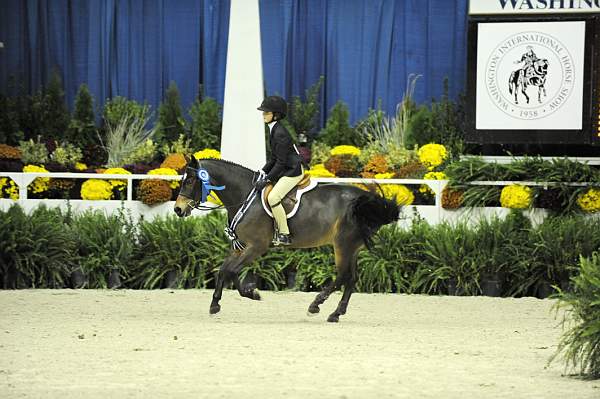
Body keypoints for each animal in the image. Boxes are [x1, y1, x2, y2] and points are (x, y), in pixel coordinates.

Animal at [173, 158, 398, 324]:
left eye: (190, 181)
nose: (178, 209)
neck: (245, 196)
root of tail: (364, 198)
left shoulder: (256, 247)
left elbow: (232, 271)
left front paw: (251, 294)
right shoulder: (240, 247)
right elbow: (224, 271)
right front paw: (216, 304)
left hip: (343, 245)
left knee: (343, 276)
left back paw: (315, 305)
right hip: (352, 248)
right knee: (351, 279)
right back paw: (335, 313)